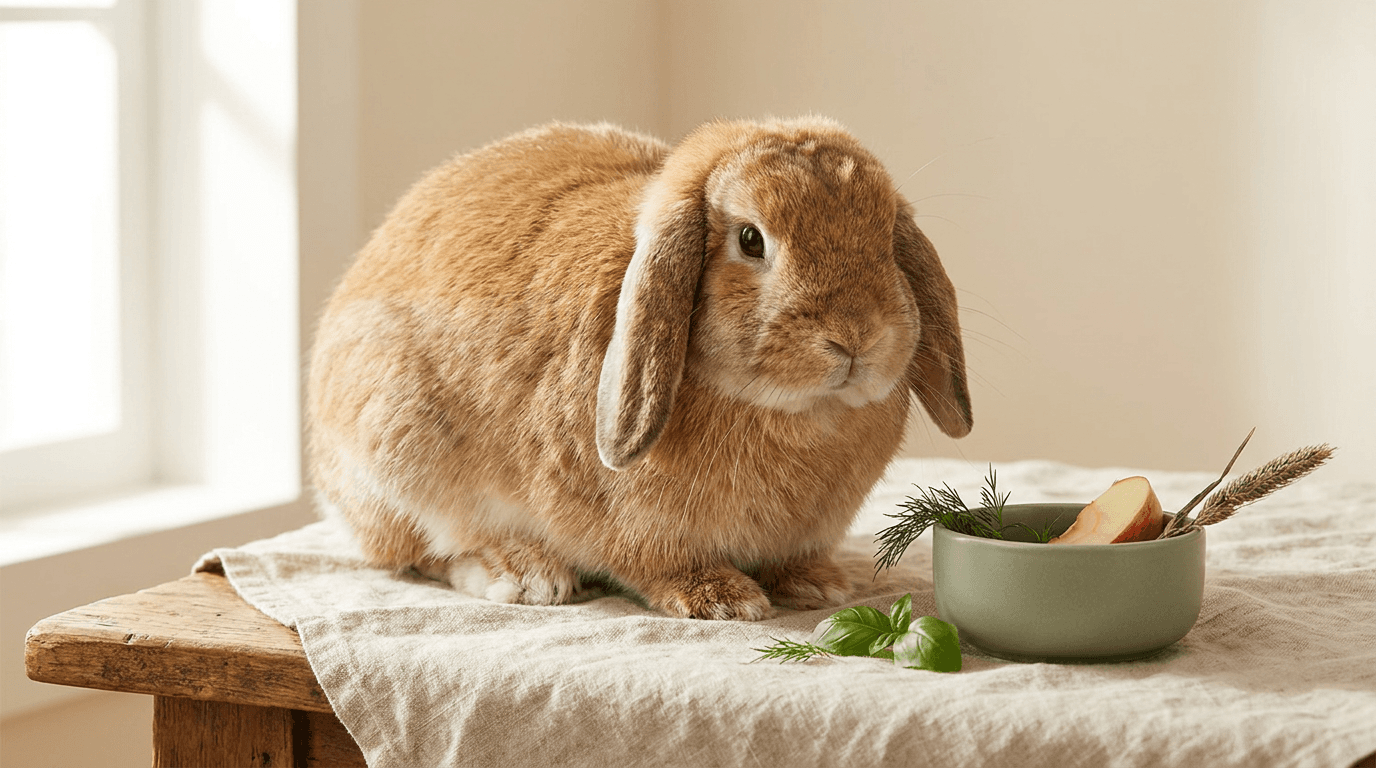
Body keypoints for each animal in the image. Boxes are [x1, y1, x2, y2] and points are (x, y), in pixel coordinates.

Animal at [306, 118, 972, 620]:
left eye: (885, 239)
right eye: (751, 240)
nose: (855, 336)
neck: (795, 411)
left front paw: (815, 584)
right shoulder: (626, 523)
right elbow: (654, 563)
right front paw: (721, 599)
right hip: (399, 448)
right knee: (424, 548)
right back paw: (525, 573)